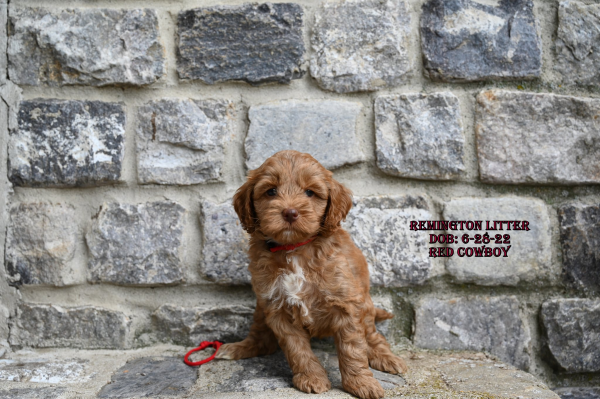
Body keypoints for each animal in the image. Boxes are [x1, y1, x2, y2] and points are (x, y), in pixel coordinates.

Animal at [213, 151, 406, 399]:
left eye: (309, 192)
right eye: (271, 191)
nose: (290, 212)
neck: (294, 249)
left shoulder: (347, 303)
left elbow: (352, 348)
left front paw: (361, 383)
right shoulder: (277, 308)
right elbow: (297, 349)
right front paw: (312, 378)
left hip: (365, 304)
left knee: (373, 336)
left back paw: (386, 358)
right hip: (260, 309)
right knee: (261, 339)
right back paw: (238, 348)